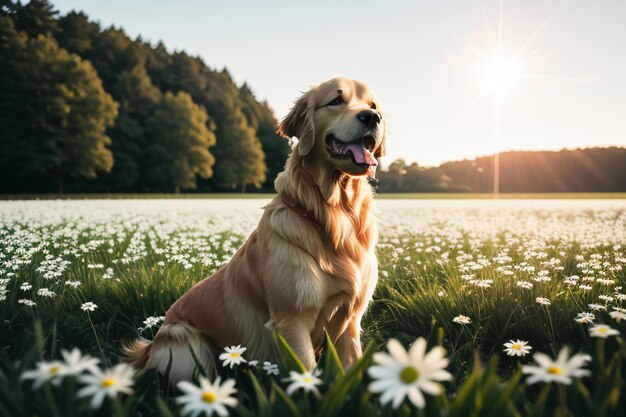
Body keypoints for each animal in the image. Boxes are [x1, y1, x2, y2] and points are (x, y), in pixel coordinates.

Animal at [123, 76, 386, 382]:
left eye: (373, 105)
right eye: (336, 100)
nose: (372, 118)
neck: (334, 215)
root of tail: (148, 348)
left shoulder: (351, 320)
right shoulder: (291, 321)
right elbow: (307, 377)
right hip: (186, 340)